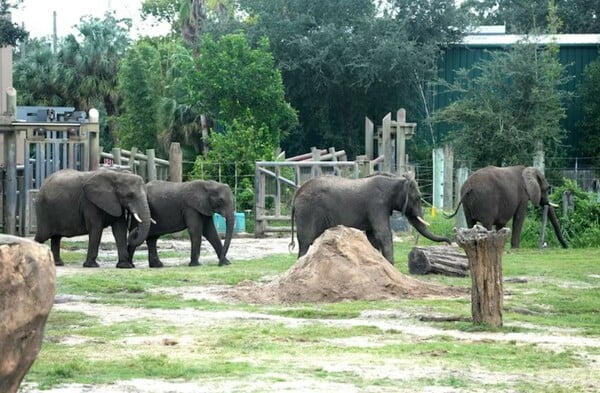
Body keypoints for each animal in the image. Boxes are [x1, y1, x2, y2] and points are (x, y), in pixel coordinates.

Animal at [290, 174, 450, 264]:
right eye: (417, 198)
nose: (449, 242)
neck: (395, 180)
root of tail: (296, 195)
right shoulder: (377, 204)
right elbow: (383, 233)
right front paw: (390, 265)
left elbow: (373, 237)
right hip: (307, 211)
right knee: (306, 242)